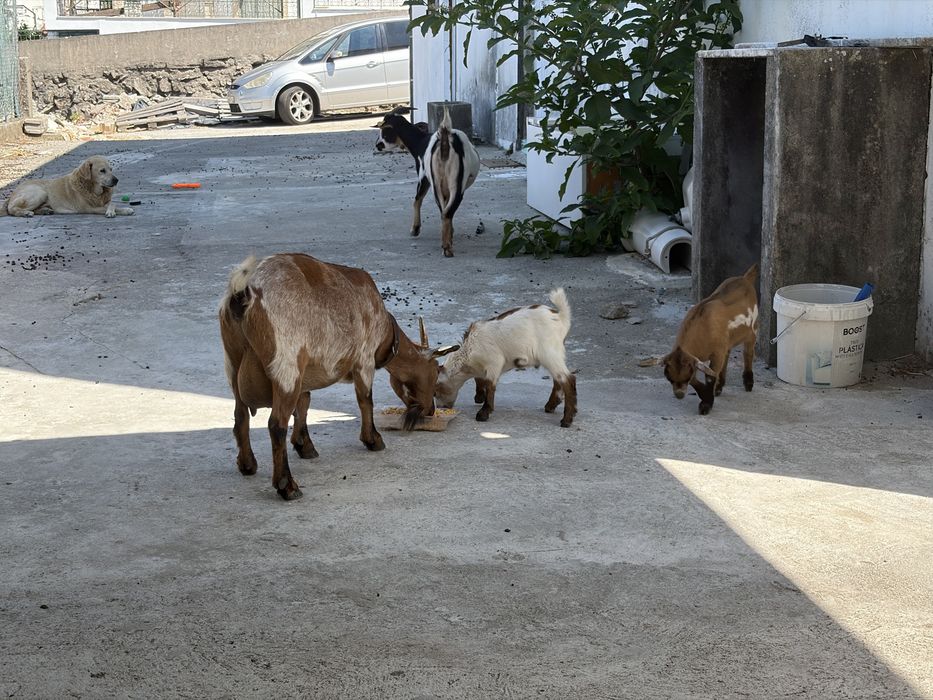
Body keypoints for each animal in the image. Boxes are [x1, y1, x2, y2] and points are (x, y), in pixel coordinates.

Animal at [219, 253, 458, 500]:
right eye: (435, 372)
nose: (430, 410)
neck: (385, 332)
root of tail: (244, 294)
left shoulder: (306, 371)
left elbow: (304, 404)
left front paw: (305, 446)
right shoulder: (364, 358)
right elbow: (365, 400)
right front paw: (373, 440)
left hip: (233, 361)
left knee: (240, 414)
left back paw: (247, 464)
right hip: (287, 363)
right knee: (276, 425)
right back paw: (287, 486)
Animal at [373, 106, 480, 257]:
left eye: (384, 131)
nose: (377, 145)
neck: (420, 143)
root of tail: (445, 137)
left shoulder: (423, 177)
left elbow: (417, 200)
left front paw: (415, 229)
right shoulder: (436, 183)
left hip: (444, 184)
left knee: (445, 211)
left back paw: (446, 246)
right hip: (448, 185)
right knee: (446, 212)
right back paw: (447, 246)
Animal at [434, 288, 577, 427]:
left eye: (436, 391)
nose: (442, 407)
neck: (469, 349)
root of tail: (560, 317)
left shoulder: (494, 362)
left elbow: (490, 385)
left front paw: (484, 413)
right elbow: (479, 379)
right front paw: (479, 397)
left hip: (549, 353)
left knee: (568, 379)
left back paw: (566, 420)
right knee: (558, 379)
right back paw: (551, 406)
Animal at [661, 264, 759, 415]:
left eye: (685, 378)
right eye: (669, 378)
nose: (679, 395)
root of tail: (745, 278)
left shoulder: (716, 353)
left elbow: (709, 377)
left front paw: (706, 404)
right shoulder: (698, 358)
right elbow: (698, 377)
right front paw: (706, 396)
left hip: (752, 330)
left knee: (748, 351)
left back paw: (748, 382)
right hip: (727, 341)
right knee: (728, 355)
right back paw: (719, 387)